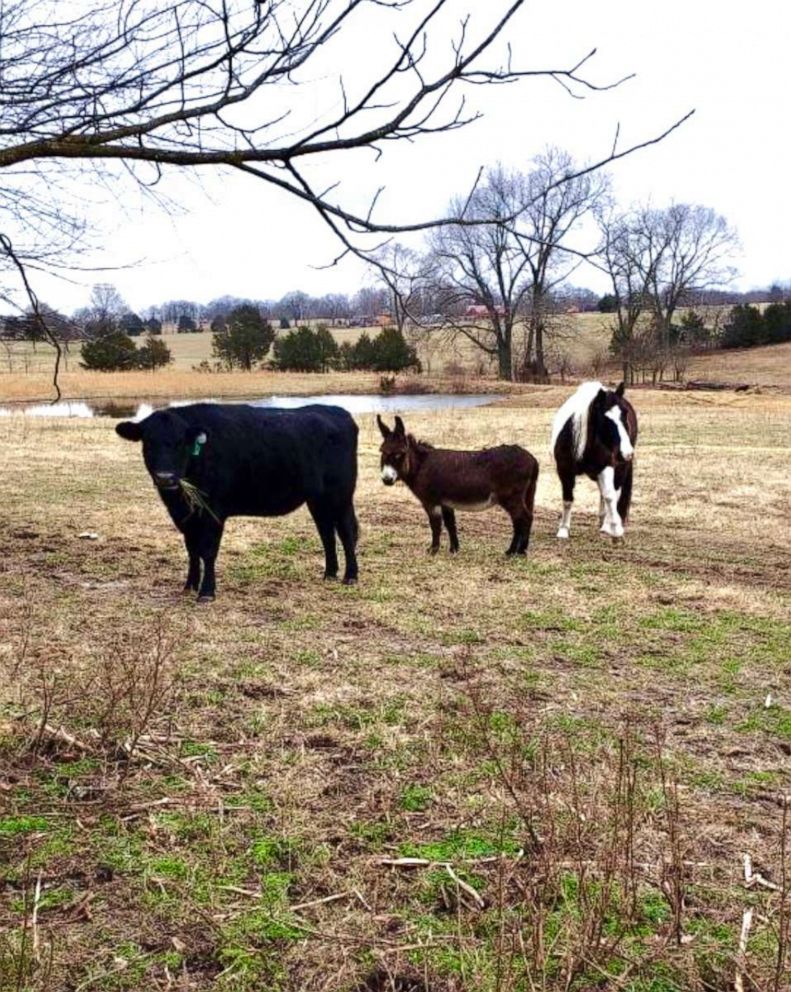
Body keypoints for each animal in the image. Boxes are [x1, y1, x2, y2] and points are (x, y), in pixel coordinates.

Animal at [116, 402, 360, 600]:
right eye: (148, 442)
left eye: (180, 442)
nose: (165, 477)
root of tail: (338, 412)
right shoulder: (186, 516)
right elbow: (192, 550)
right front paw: (189, 586)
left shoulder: (213, 512)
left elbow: (207, 550)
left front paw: (207, 592)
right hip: (318, 500)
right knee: (326, 533)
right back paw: (329, 573)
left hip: (341, 495)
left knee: (346, 532)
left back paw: (350, 576)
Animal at [552, 380, 640, 540]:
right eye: (606, 418)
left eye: (624, 414)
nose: (628, 453)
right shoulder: (564, 470)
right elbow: (567, 499)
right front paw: (563, 529)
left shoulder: (606, 466)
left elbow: (610, 496)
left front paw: (615, 528)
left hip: (619, 468)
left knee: (613, 493)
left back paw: (607, 524)